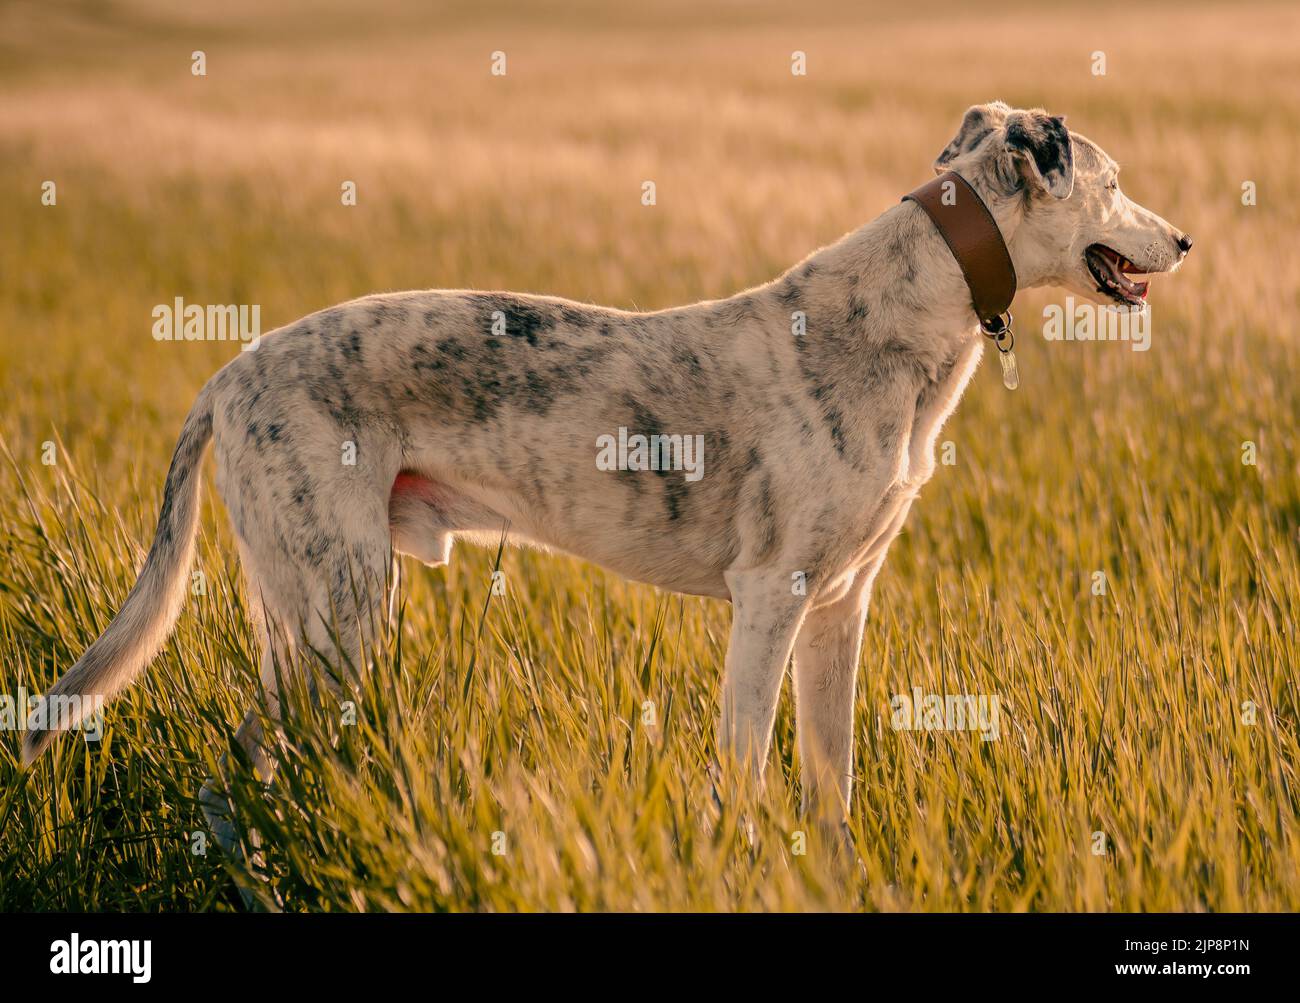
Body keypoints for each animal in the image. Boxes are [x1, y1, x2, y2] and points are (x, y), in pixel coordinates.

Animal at [25, 101, 1190, 836]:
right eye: (1115, 181)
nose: (1183, 239)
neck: (915, 308)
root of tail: (228, 372)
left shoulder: (839, 606)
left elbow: (832, 785)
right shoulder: (770, 596)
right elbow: (743, 771)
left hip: (317, 611)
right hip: (333, 610)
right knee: (244, 770)